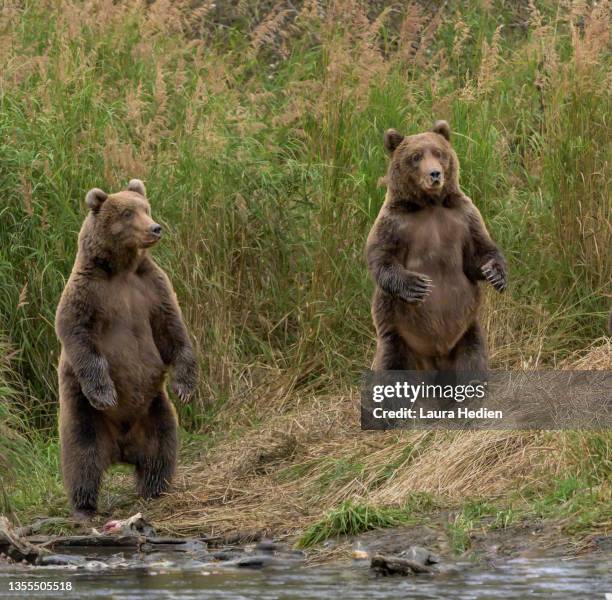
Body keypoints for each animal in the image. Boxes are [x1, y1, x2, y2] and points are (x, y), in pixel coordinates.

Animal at [56, 177, 197, 516]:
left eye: (146, 207)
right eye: (127, 213)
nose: (155, 228)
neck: (120, 267)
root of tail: (120, 448)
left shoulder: (151, 287)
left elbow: (172, 329)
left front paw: (185, 386)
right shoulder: (88, 291)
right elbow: (77, 333)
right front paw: (105, 393)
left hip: (154, 408)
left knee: (162, 446)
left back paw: (155, 488)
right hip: (82, 413)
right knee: (81, 457)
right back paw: (84, 505)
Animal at [368, 119, 506, 372]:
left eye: (439, 153)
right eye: (416, 156)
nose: (434, 173)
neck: (429, 204)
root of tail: (435, 359)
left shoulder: (463, 217)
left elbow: (478, 252)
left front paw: (495, 273)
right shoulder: (394, 223)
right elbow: (382, 257)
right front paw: (418, 284)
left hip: (467, 334)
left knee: (473, 363)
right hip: (398, 337)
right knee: (390, 365)